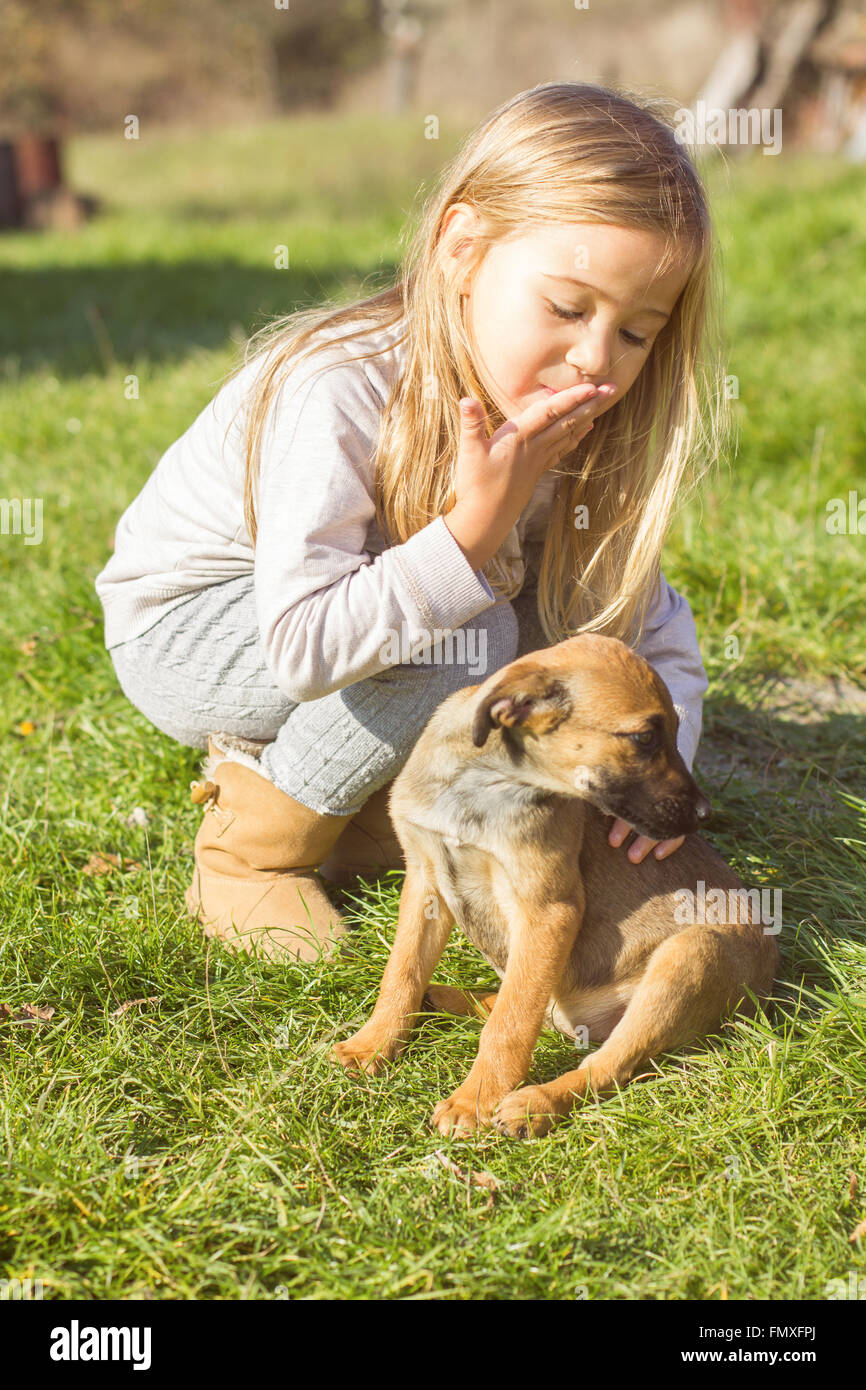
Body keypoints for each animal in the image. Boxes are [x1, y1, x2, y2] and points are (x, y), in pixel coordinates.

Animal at [332, 636, 778, 1134]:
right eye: (644, 738)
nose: (704, 814)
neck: (483, 785)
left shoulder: (548, 910)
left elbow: (509, 1025)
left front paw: (474, 1100)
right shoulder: (425, 881)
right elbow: (403, 973)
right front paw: (373, 1044)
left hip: (692, 954)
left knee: (607, 1062)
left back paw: (535, 1103)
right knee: (532, 1009)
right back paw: (445, 997)